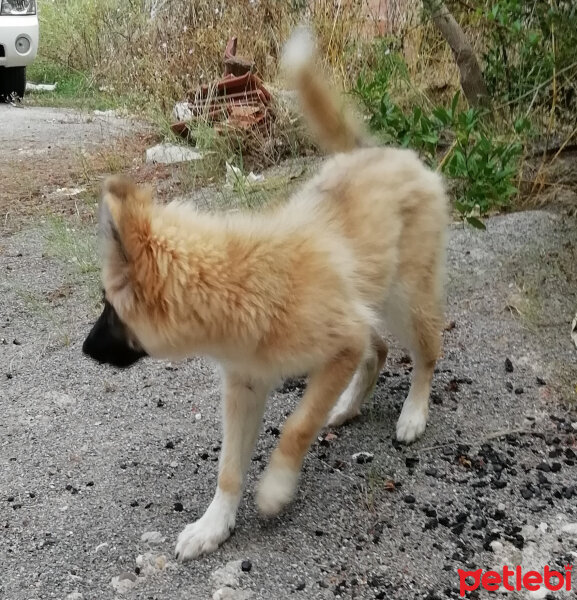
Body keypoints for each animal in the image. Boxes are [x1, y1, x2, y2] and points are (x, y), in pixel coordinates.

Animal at [83, 28, 448, 564]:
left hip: (407, 297)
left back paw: (414, 414)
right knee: (377, 348)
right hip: (367, 306)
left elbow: (297, 426)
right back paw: (348, 406)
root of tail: (380, 152)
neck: (241, 284)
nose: (84, 350)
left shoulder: (339, 343)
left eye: (110, 307)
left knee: (425, 354)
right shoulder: (245, 386)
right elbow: (229, 468)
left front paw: (276, 488)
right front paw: (213, 525)